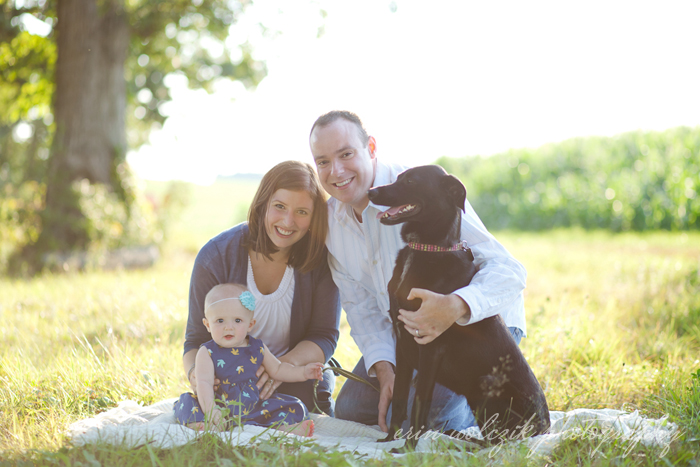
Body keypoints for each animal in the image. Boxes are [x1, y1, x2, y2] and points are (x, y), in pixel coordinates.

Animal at [370, 166, 548, 448]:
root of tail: (546, 429)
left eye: (410, 181)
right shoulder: (403, 343)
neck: (425, 248)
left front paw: (407, 449)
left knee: (500, 444)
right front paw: (389, 439)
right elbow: (398, 397)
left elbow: (419, 403)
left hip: (486, 384)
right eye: (398, 178)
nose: (370, 192)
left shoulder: (430, 345)